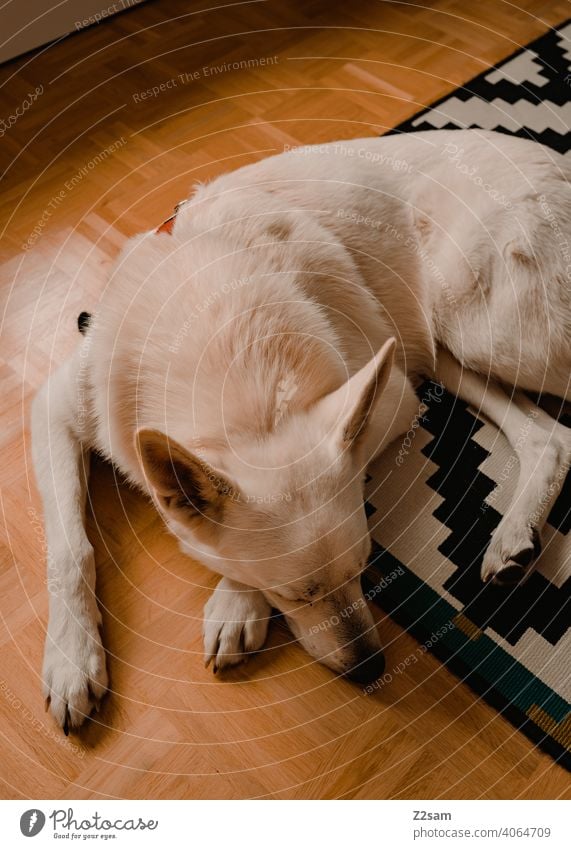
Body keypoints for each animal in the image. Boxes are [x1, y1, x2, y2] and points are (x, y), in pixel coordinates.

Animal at [32, 129, 571, 732]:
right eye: (295, 594)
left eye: (365, 568)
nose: (370, 669)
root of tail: (557, 164)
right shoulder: (56, 408)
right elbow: (70, 550)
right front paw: (72, 659)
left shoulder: (394, 399)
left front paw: (235, 601)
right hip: (446, 347)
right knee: (550, 438)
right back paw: (514, 537)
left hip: (480, 327)